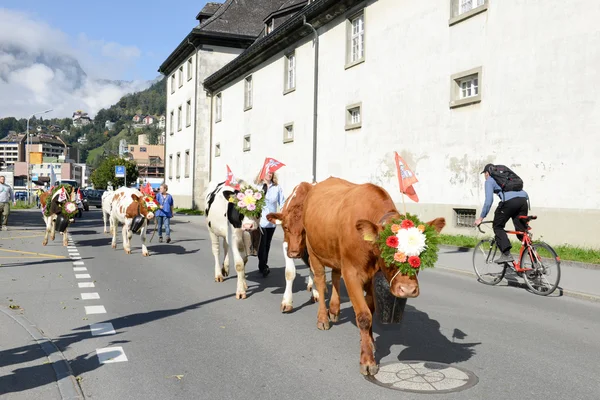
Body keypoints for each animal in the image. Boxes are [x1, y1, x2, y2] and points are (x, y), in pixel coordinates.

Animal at [264, 182, 318, 312]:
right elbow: (289, 272)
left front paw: (316, 293)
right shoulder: (286, 245)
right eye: (286, 227)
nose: (294, 253)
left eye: (304, 230)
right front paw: (287, 302)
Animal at [304, 177, 446, 376]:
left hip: (335, 255)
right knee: (321, 282)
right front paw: (367, 360)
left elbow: (370, 310)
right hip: (313, 251)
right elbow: (363, 316)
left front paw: (370, 342)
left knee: (335, 275)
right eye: (390, 252)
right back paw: (323, 318)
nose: (408, 289)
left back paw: (334, 310)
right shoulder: (352, 273)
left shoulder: (371, 277)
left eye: (421, 253)